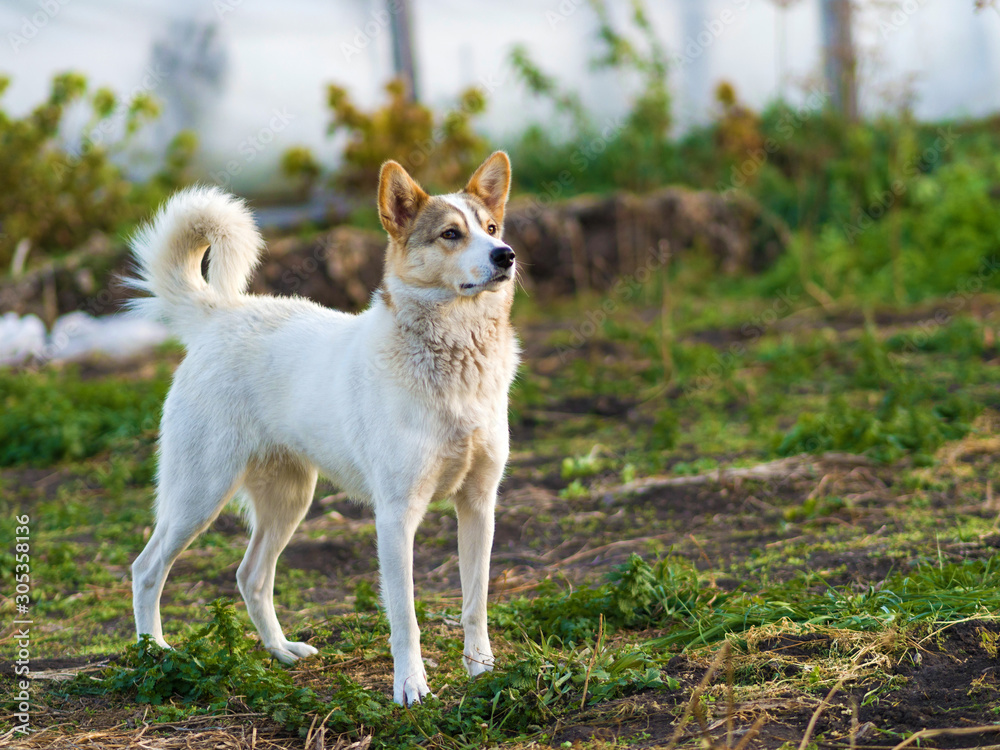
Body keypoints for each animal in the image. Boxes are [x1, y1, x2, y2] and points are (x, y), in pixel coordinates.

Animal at [129, 151, 520, 704]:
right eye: (450, 234)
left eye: (490, 228)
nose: (506, 256)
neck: (454, 358)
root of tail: (220, 315)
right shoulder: (396, 516)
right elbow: (405, 617)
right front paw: (410, 687)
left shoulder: (480, 505)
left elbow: (475, 602)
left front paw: (482, 670)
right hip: (198, 495)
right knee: (147, 570)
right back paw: (156, 655)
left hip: (290, 499)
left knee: (251, 576)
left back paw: (280, 651)